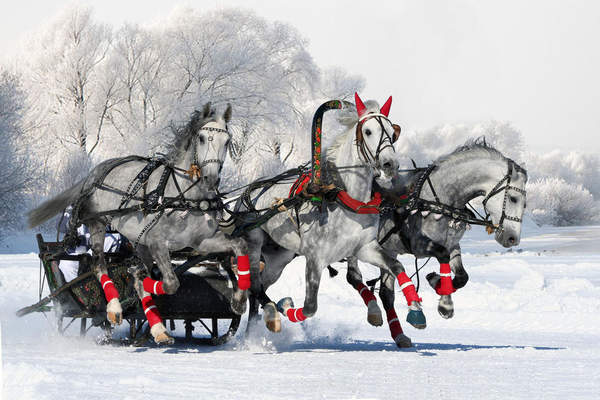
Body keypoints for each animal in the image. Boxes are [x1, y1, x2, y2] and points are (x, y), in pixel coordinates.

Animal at [26, 103, 248, 344]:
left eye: (227, 140)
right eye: (201, 137)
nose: (210, 179)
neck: (182, 197)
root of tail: (94, 173)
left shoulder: (202, 241)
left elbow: (238, 246)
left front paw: (239, 300)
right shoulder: (158, 242)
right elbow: (170, 283)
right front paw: (136, 283)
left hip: (138, 240)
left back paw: (158, 327)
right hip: (98, 223)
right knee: (98, 263)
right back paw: (115, 308)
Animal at [237, 94, 424, 346]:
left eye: (391, 131)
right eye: (368, 131)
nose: (389, 164)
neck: (346, 199)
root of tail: (246, 194)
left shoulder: (365, 248)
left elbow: (396, 266)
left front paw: (416, 310)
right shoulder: (315, 257)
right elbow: (309, 307)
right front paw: (285, 305)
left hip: (279, 256)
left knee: (259, 288)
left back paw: (254, 331)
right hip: (254, 242)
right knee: (255, 286)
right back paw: (270, 316)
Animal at [342, 139, 528, 346]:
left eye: (525, 203)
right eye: (513, 198)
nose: (512, 238)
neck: (439, 201)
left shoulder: (452, 245)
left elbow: (462, 276)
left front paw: (436, 282)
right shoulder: (420, 245)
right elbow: (442, 255)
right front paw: (445, 303)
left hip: (389, 250)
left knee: (386, 293)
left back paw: (400, 335)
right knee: (354, 277)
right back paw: (374, 312)